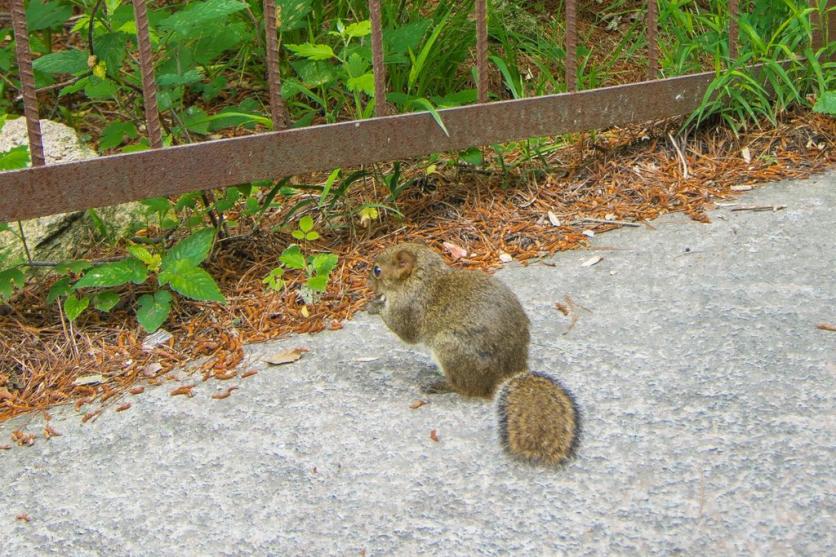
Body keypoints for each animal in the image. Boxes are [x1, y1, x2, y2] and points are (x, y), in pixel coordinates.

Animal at [370, 242, 580, 464]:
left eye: (377, 270)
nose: (369, 284)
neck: (421, 278)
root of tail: (511, 370)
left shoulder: (409, 307)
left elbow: (404, 331)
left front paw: (374, 305)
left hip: (450, 347)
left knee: (468, 387)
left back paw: (440, 385)